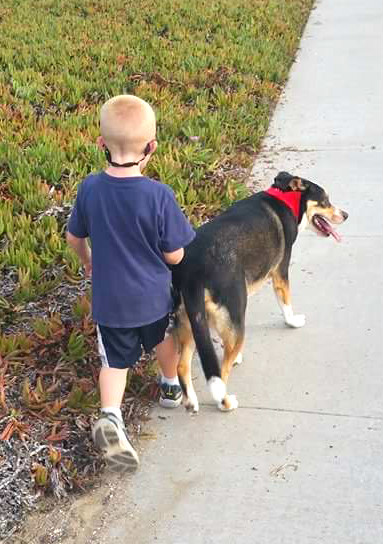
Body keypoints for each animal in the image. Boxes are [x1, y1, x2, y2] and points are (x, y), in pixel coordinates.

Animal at [172, 172, 350, 414]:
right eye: (325, 201)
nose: (346, 215)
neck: (286, 197)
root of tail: (195, 272)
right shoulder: (280, 271)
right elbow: (286, 302)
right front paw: (293, 322)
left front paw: (235, 355)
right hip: (231, 311)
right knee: (221, 374)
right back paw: (226, 402)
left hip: (190, 319)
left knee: (182, 366)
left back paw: (191, 400)